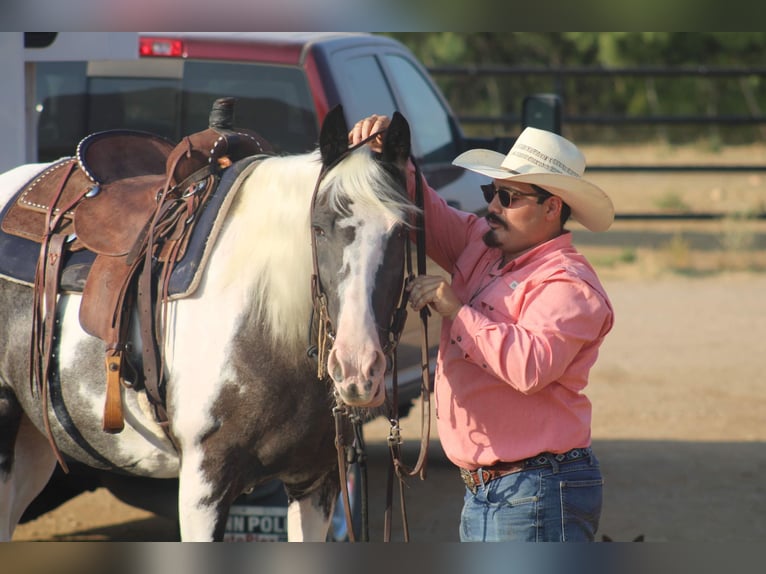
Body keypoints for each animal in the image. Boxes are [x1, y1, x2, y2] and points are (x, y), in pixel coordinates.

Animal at [0, 108, 420, 544]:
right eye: (318, 228)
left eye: (402, 231)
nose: (357, 368)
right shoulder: (205, 484)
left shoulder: (316, 480)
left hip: (33, 444)